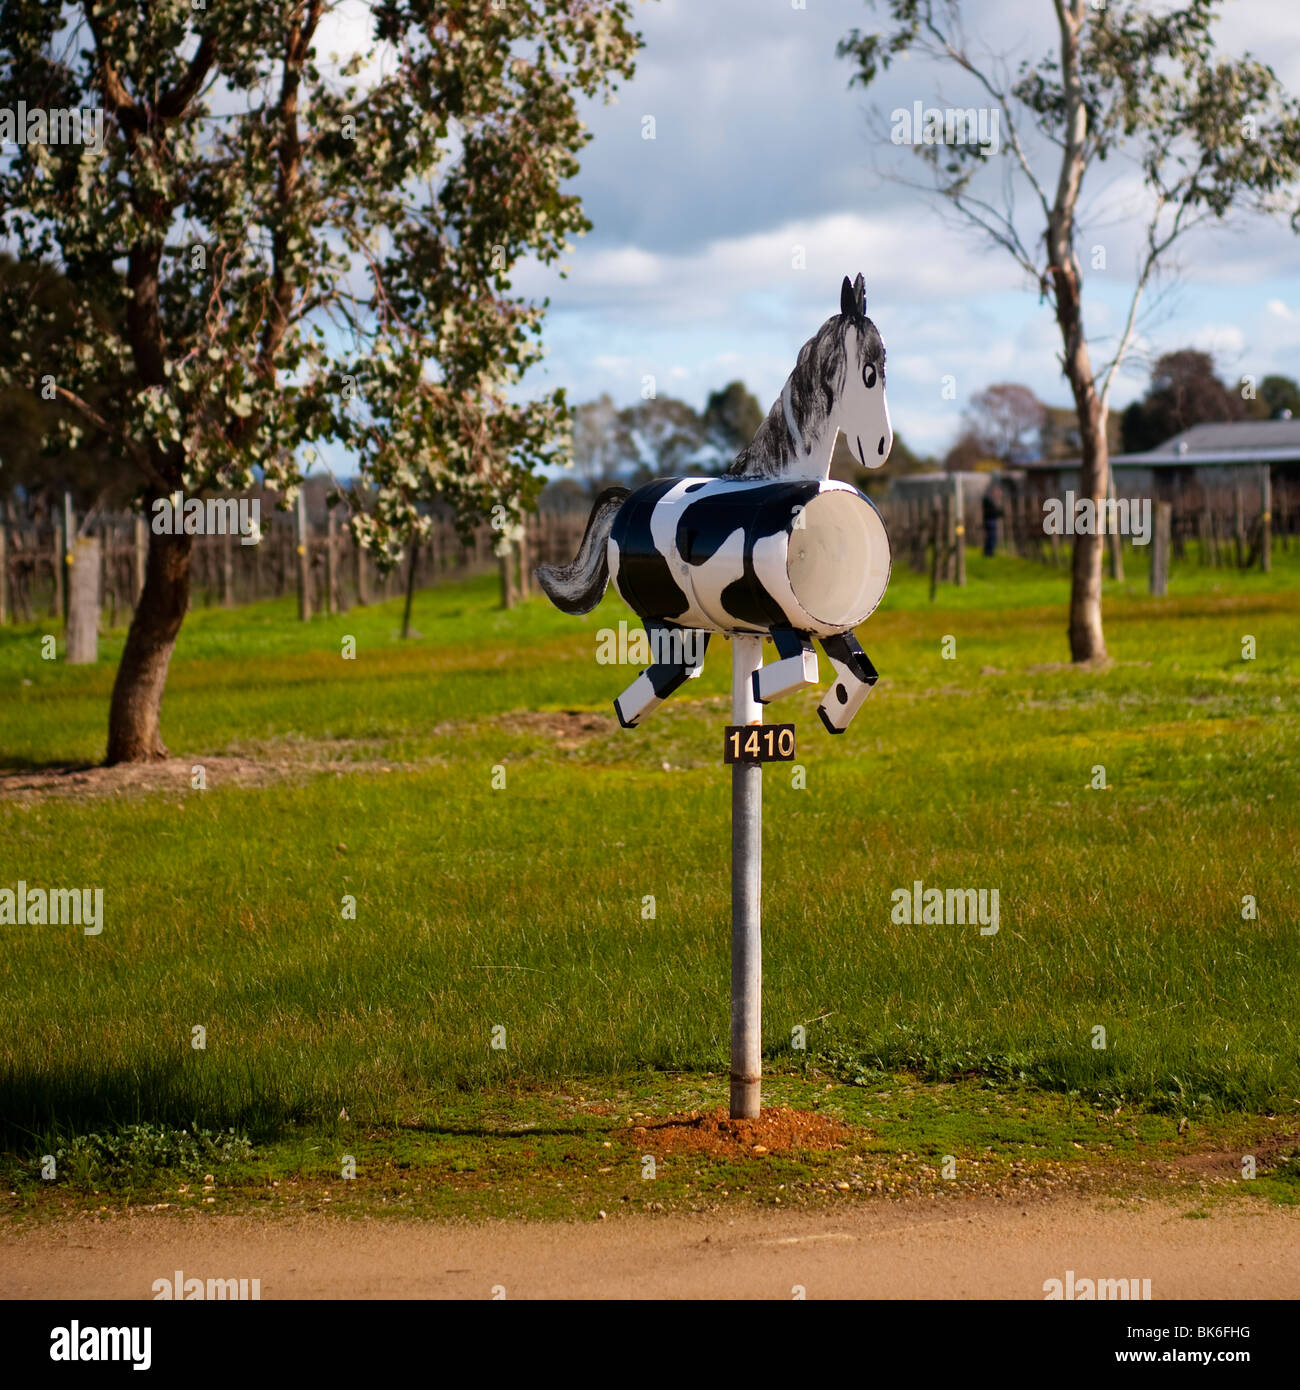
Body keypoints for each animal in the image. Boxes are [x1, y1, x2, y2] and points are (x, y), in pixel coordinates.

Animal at [533, 268, 889, 728]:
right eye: (869, 372)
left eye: (885, 366)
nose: (880, 446)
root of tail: (627, 501)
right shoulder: (782, 623)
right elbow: (800, 668)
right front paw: (762, 689)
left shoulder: (825, 626)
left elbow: (861, 672)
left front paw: (831, 712)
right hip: (660, 617)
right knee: (673, 668)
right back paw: (626, 712)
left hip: (690, 623)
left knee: (683, 666)